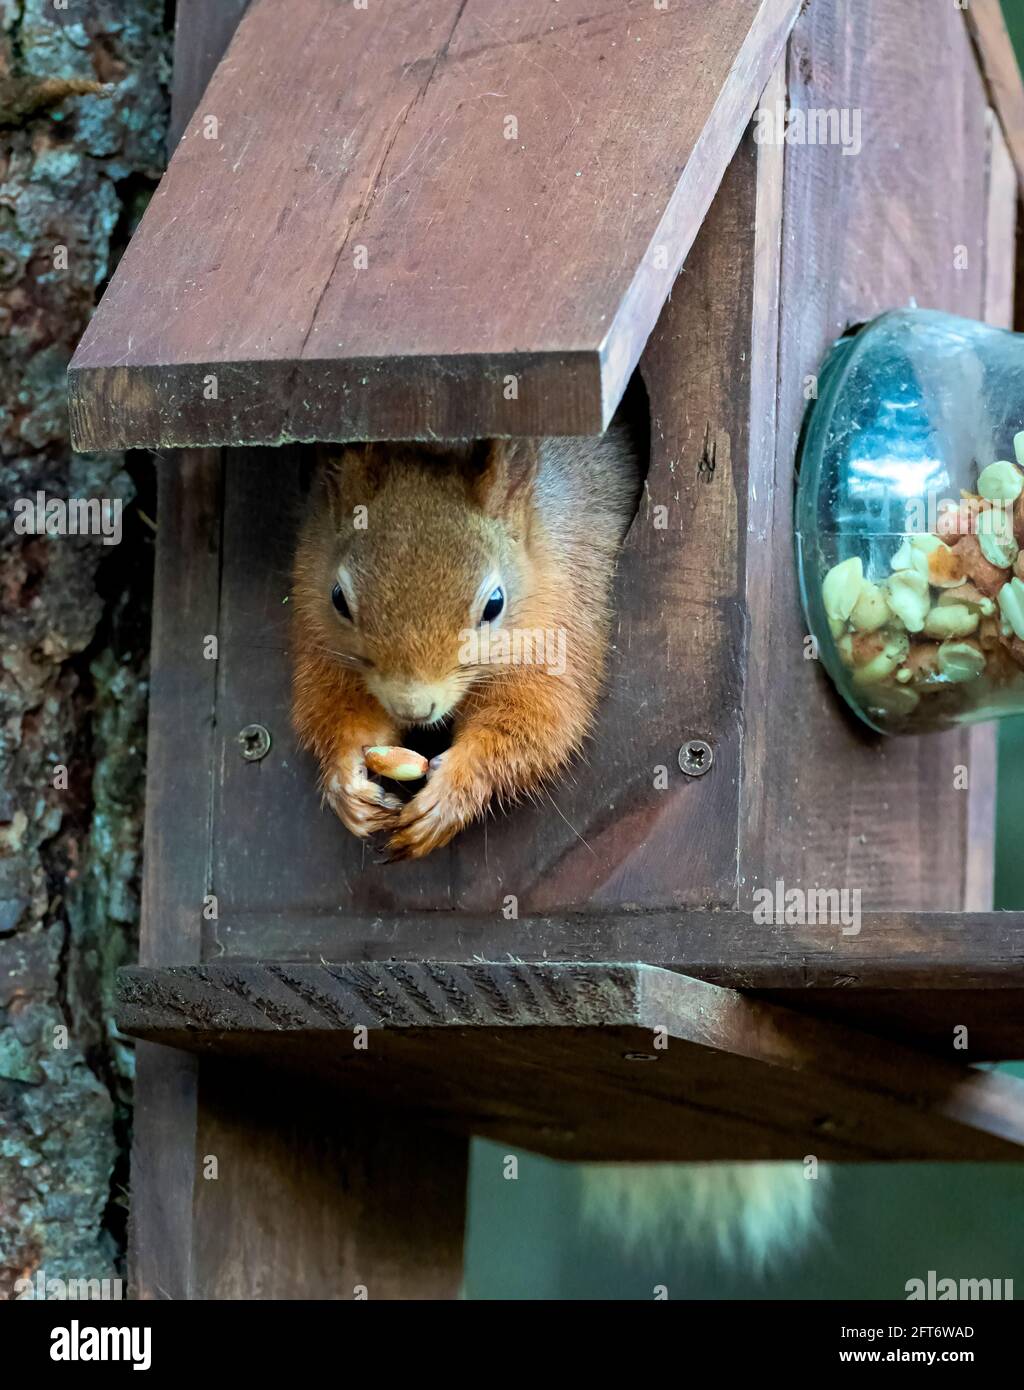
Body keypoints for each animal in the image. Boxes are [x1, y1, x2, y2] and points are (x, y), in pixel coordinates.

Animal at [287, 400, 639, 856]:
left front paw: (454, 790)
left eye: (495, 604)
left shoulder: (563, 625)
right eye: (338, 600)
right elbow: (334, 707)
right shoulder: (318, 633)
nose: (413, 708)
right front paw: (346, 779)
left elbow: (540, 719)